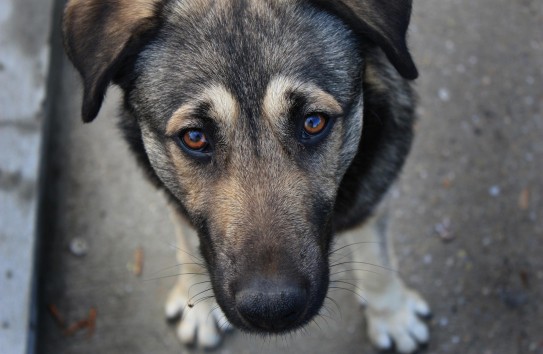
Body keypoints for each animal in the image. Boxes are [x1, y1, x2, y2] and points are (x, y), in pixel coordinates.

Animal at [62, 1, 430, 352]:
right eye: (194, 137)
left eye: (313, 122)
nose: (272, 310)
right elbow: (189, 244)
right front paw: (198, 304)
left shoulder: (375, 185)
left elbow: (378, 257)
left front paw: (392, 315)